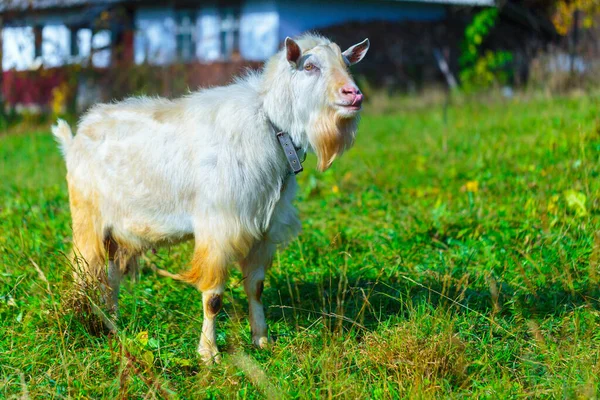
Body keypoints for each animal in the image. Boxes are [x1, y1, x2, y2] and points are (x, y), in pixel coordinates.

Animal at [52, 34, 370, 362]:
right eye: (309, 66)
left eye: (346, 63)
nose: (353, 94)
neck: (269, 123)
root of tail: (74, 139)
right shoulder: (219, 228)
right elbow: (213, 297)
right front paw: (209, 354)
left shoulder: (262, 230)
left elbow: (256, 287)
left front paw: (262, 339)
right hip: (87, 221)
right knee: (86, 272)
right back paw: (86, 323)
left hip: (118, 234)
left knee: (112, 277)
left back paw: (114, 324)